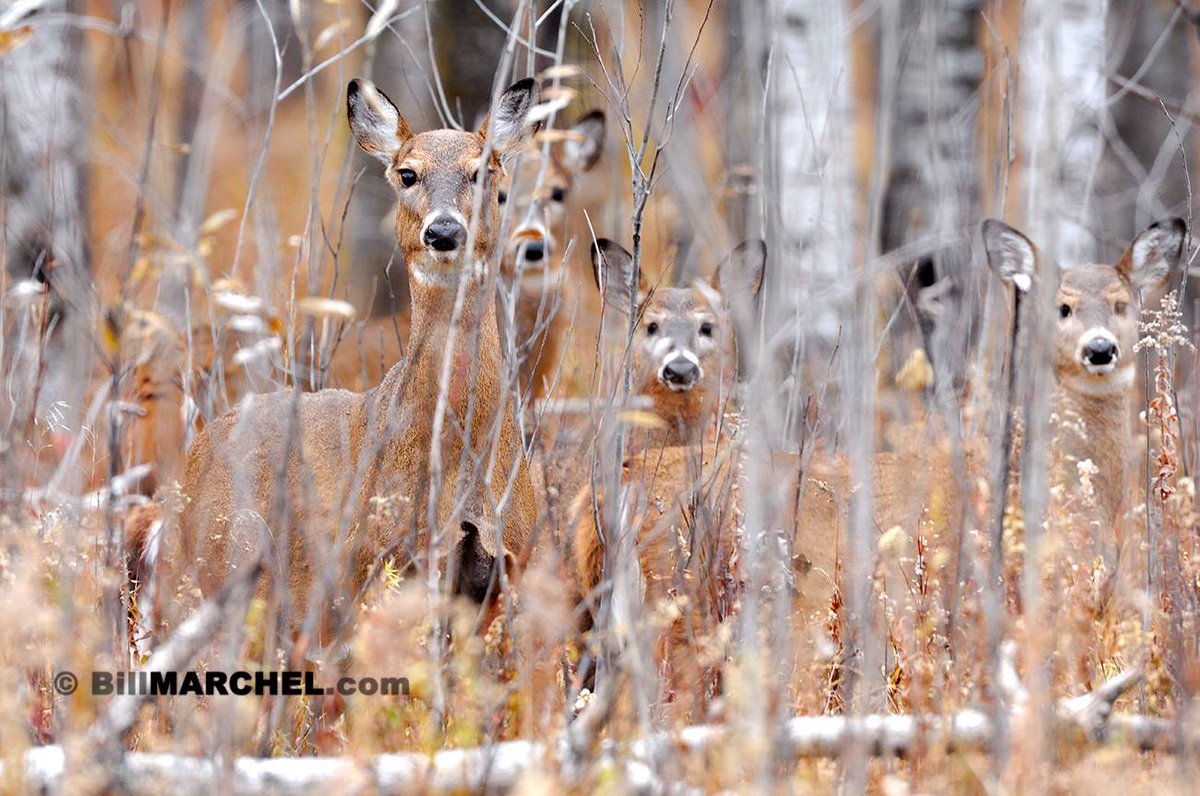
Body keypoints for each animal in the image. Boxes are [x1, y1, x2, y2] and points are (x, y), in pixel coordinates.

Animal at [133, 78, 542, 647]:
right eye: (407, 173)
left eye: (484, 171)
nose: (443, 231)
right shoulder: (375, 563)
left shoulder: (506, 566)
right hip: (213, 576)